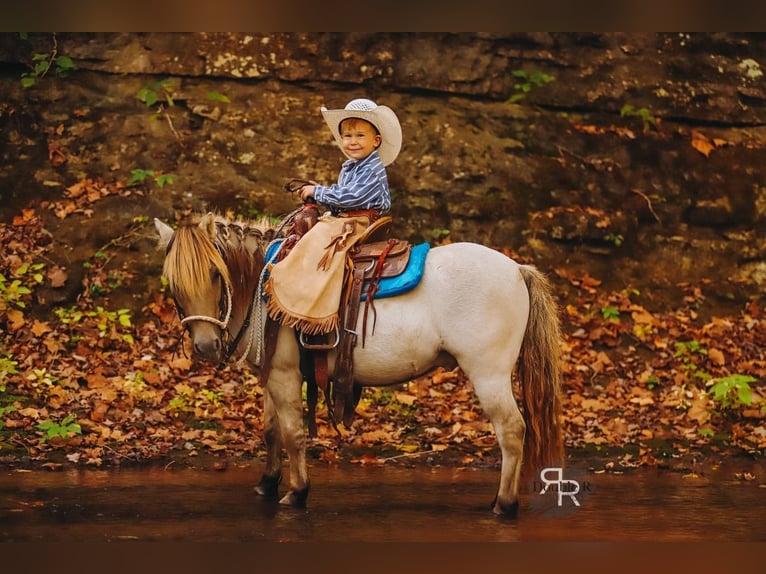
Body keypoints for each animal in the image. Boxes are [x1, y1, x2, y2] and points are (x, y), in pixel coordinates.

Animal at [154, 212, 564, 516]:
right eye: (172, 281)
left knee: (512, 430)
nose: (206, 346)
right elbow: (270, 430)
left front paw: (297, 492)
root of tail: (517, 268)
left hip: (489, 374)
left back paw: (504, 505)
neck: (262, 283)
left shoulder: (285, 375)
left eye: (214, 273)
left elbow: (292, 434)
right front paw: (266, 484)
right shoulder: (271, 374)